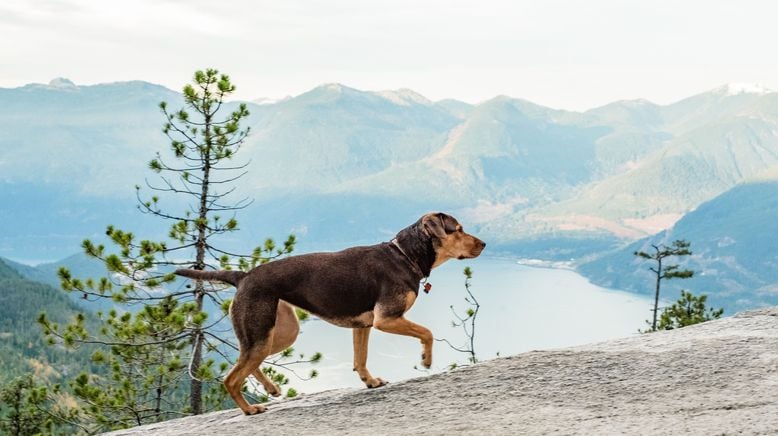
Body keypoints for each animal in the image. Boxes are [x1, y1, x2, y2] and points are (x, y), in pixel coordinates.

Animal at [176, 213, 484, 414]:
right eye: (458, 229)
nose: (483, 244)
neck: (404, 255)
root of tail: (243, 276)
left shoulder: (364, 325)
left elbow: (361, 359)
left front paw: (370, 382)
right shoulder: (387, 319)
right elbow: (427, 332)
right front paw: (426, 359)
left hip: (279, 333)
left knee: (246, 364)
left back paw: (271, 389)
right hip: (262, 332)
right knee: (231, 377)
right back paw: (250, 409)